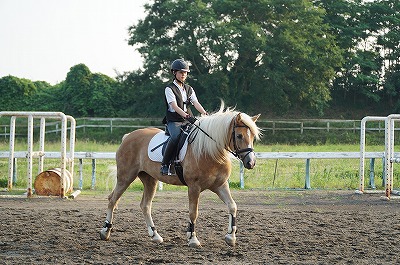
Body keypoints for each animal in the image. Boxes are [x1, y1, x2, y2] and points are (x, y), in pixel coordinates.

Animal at [99, 103, 260, 245]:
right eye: (239, 136)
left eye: (252, 136)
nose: (250, 163)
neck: (210, 151)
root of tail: (128, 136)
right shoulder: (194, 187)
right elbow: (193, 212)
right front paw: (193, 239)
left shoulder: (220, 185)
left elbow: (232, 206)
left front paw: (230, 237)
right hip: (125, 177)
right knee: (112, 199)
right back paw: (105, 231)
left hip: (150, 180)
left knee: (145, 205)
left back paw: (155, 235)